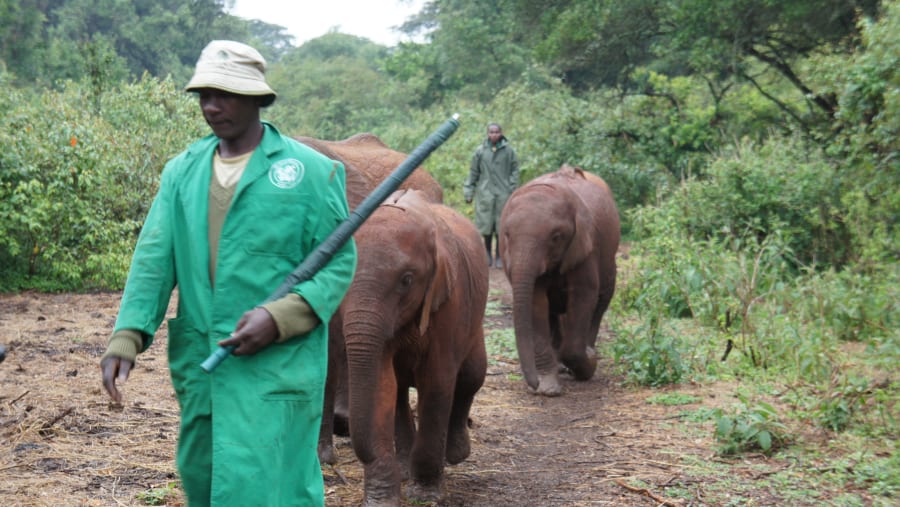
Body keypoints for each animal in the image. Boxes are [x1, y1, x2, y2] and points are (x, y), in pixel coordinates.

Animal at [336, 189, 489, 505]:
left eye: (406, 280)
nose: (341, 425)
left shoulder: (450, 301)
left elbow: (437, 382)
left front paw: (426, 494)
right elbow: (382, 386)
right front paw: (382, 498)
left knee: (471, 376)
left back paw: (455, 455)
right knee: (400, 393)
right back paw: (406, 466)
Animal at [498, 164, 620, 397]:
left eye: (556, 237)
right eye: (506, 235)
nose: (533, 384)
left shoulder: (586, 247)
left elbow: (583, 296)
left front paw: (589, 362)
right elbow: (536, 303)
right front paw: (548, 389)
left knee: (600, 304)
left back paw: (586, 352)